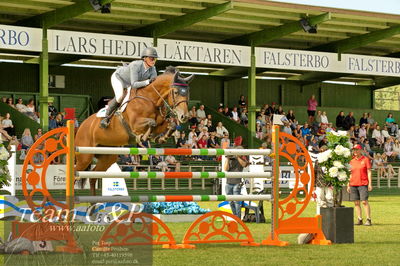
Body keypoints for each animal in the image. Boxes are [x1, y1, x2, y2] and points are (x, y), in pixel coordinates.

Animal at [76, 66, 195, 195]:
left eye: (188, 93)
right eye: (176, 92)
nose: (184, 116)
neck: (151, 99)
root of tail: (81, 125)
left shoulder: (161, 123)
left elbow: (171, 124)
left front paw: (160, 138)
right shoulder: (135, 124)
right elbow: (151, 123)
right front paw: (144, 137)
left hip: (107, 157)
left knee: (93, 177)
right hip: (85, 156)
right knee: (75, 174)